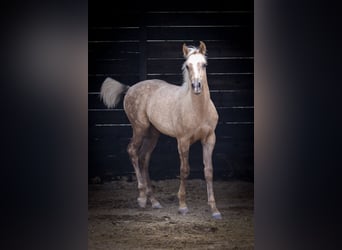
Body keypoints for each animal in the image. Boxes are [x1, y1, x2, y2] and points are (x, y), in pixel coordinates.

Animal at [99, 41, 222, 219]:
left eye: (204, 64)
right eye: (187, 66)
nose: (197, 86)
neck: (198, 110)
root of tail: (129, 88)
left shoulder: (210, 139)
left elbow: (209, 171)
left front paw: (214, 210)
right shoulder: (183, 141)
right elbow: (184, 170)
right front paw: (182, 206)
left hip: (153, 134)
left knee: (144, 158)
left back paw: (154, 201)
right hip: (139, 128)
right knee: (132, 151)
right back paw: (142, 197)